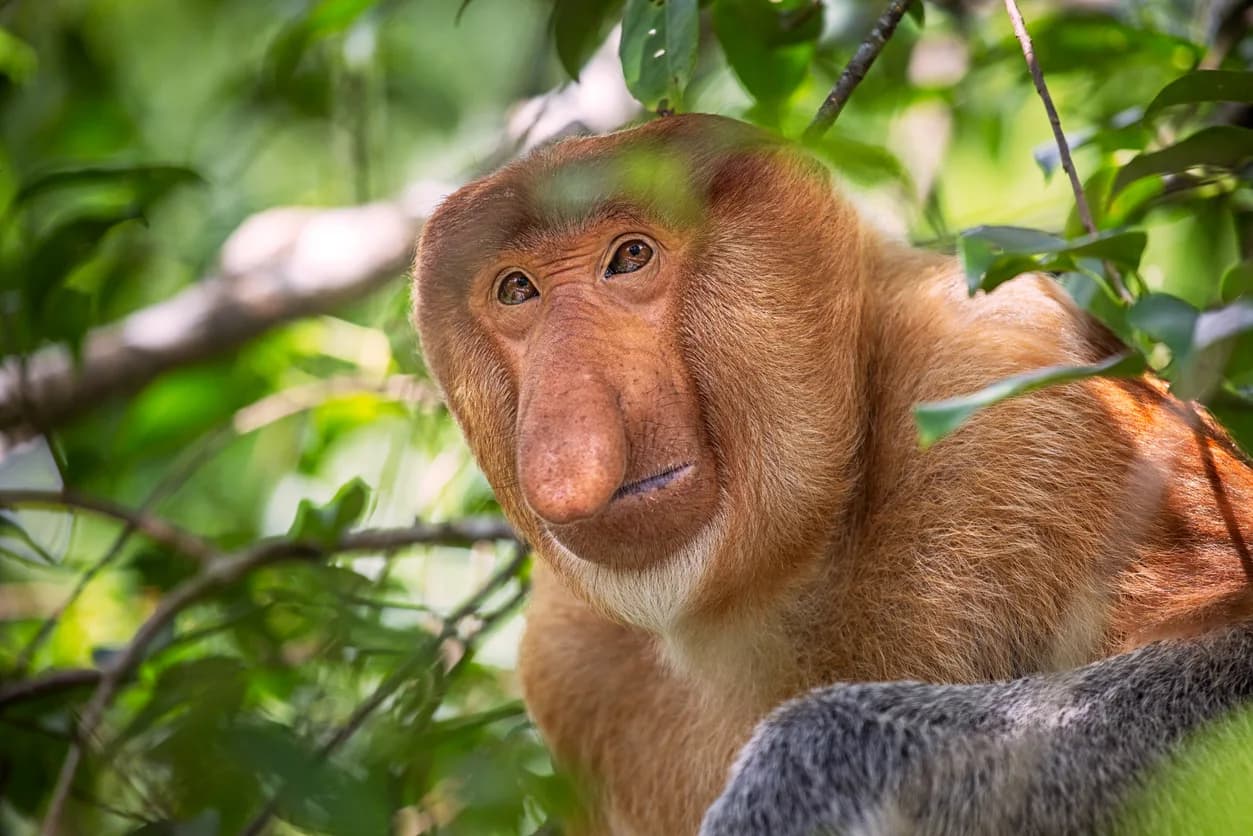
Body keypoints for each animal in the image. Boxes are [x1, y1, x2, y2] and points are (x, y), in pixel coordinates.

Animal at [412, 113, 1253, 834]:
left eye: (630, 256)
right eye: (516, 289)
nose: (563, 450)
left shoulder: (1011, 380)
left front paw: (793, 779)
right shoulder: (567, 660)